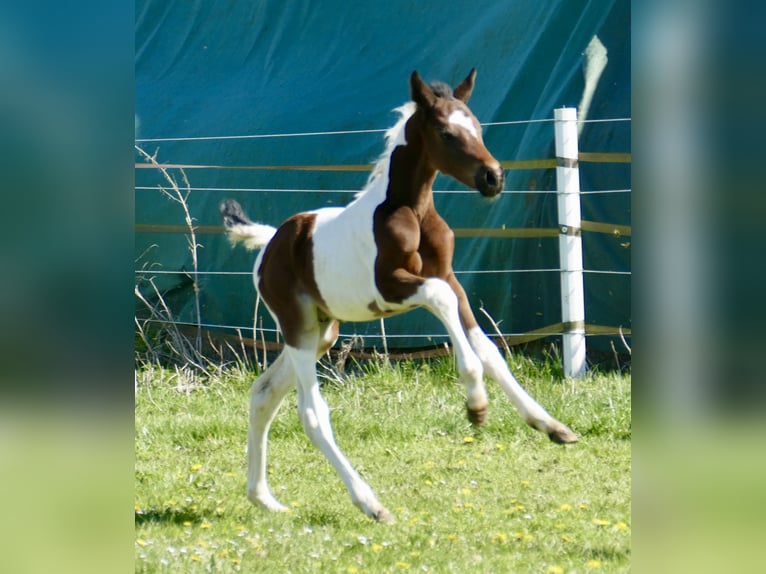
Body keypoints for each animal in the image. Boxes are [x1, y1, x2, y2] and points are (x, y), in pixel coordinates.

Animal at [221, 69, 577, 523]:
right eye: (446, 132)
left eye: (477, 127)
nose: (493, 177)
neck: (412, 210)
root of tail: (270, 242)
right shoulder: (392, 285)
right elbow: (442, 303)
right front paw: (476, 402)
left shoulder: (450, 277)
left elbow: (487, 347)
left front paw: (550, 425)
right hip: (297, 328)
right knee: (312, 414)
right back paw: (371, 504)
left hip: (322, 331)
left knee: (264, 393)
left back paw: (263, 498)